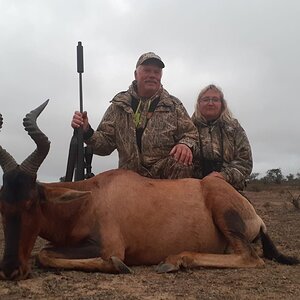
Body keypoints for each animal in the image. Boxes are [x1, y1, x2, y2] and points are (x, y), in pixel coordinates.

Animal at [0, 102, 298, 280]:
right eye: (3, 206)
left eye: (32, 203)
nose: (10, 270)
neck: (92, 197)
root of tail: (255, 216)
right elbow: (44, 253)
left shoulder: (110, 245)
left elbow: (45, 255)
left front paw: (118, 266)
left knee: (251, 258)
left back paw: (175, 260)